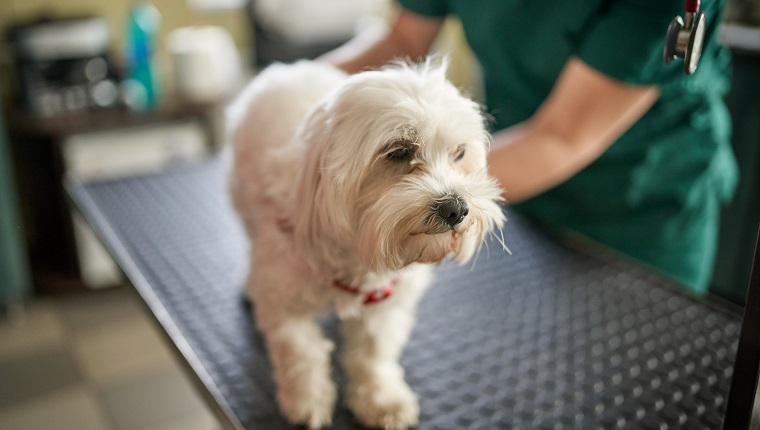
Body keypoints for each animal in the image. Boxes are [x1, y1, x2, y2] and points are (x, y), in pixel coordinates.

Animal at [229, 58, 508, 428]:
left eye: (459, 153)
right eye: (399, 151)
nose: (456, 208)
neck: (357, 257)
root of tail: (289, 67)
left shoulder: (386, 301)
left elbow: (373, 353)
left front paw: (381, 399)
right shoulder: (283, 299)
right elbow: (301, 352)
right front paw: (306, 399)